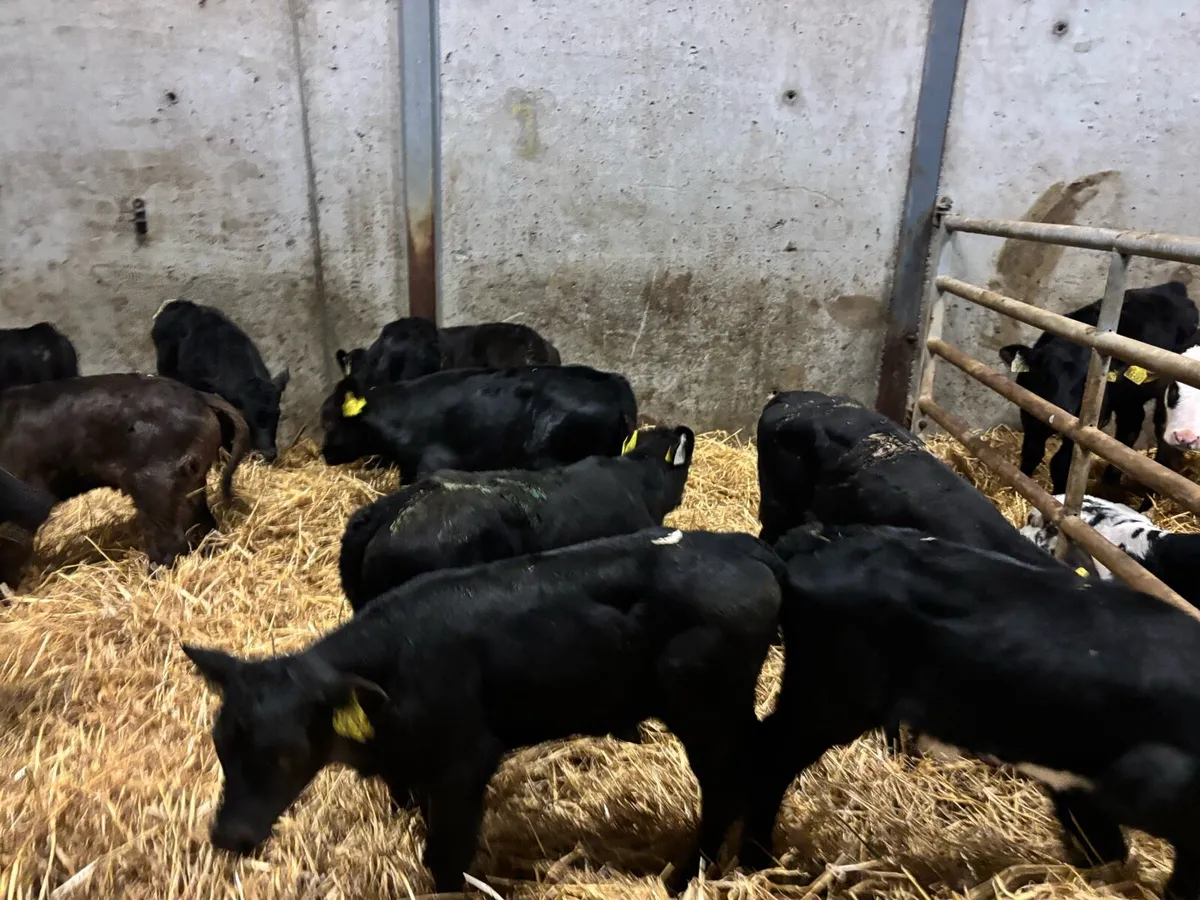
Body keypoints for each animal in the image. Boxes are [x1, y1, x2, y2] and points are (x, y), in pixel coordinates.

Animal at [182, 527, 785, 895]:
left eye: (284, 755)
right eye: (220, 744)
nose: (228, 835)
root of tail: (742, 548)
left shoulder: (463, 764)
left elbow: (446, 859)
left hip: (706, 708)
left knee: (725, 784)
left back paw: (684, 877)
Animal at [741, 522, 1200, 900]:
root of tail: (821, 539)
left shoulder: (1078, 782)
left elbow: (1103, 849)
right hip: (831, 697)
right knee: (766, 758)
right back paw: (758, 862)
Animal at [998, 281, 1198, 494]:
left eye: (1085, 382)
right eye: (1043, 374)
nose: (1062, 410)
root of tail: (1173, 286)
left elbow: (1061, 465)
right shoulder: (1029, 414)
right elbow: (1032, 452)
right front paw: (1020, 483)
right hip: (1128, 398)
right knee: (1131, 424)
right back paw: (1110, 479)